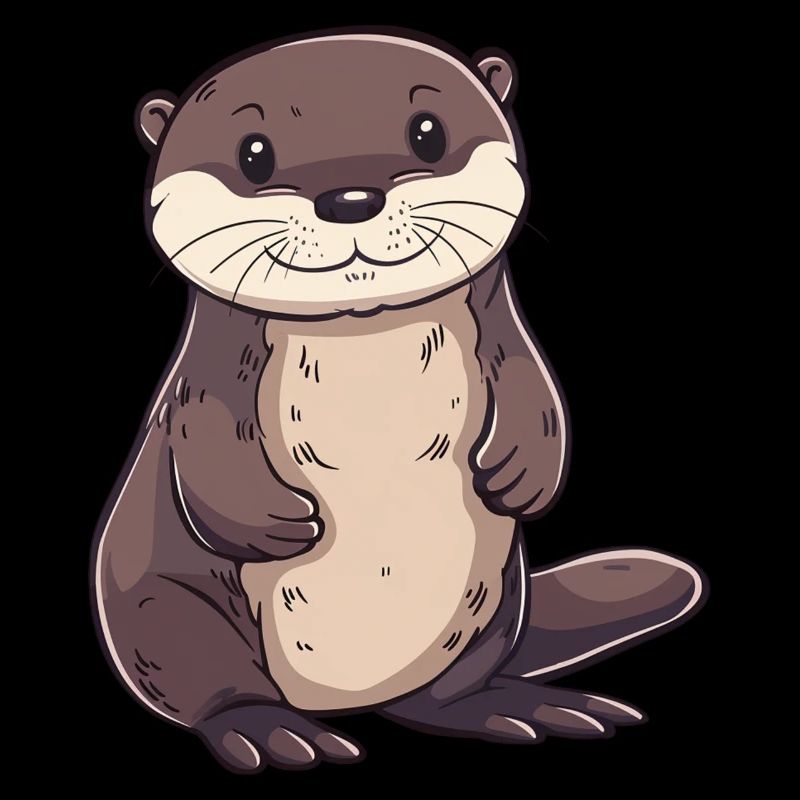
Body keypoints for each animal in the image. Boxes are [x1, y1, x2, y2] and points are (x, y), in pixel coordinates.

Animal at [92, 29, 706, 772]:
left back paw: (516, 710)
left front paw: (523, 474)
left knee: (438, 699)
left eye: (428, 132)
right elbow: (204, 431)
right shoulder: (207, 367)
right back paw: (272, 733)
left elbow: (530, 382)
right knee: (212, 686)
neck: (363, 337)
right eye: (253, 153)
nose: (350, 198)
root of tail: (344, 703)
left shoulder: (500, 329)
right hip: (167, 605)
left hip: (497, 602)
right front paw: (276, 522)